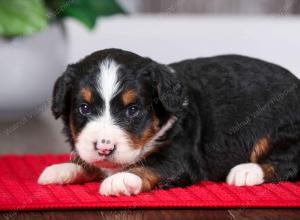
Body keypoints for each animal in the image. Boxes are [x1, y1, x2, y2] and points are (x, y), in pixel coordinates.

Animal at [38, 48, 300, 196]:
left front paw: (121, 180)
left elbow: (150, 165)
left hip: (281, 129)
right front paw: (62, 169)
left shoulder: (180, 157)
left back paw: (246, 171)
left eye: (133, 110)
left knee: (288, 161)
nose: (104, 147)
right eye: (84, 108)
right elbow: (90, 162)